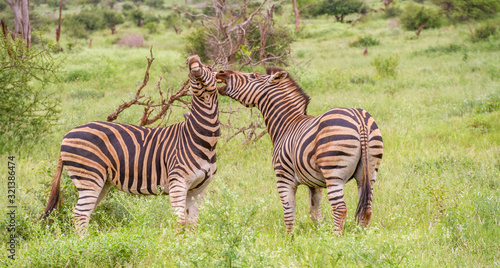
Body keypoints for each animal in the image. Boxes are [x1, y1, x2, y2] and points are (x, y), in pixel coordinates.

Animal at [40, 55, 218, 238]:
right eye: (190, 72)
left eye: (209, 68)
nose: (193, 59)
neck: (202, 140)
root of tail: (66, 135)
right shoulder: (178, 182)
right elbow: (179, 222)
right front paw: (177, 243)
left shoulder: (198, 188)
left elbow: (193, 223)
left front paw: (192, 242)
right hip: (89, 175)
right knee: (79, 213)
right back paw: (85, 243)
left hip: (101, 181)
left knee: (85, 212)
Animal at [215, 68, 382, 236]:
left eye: (252, 76)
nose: (221, 72)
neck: (286, 125)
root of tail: (359, 119)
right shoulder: (315, 183)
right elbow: (314, 212)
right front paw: (319, 235)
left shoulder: (283, 178)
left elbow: (288, 212)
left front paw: (290, 239)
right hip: (368, 172)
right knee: (366, 209)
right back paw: (361, 237)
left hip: (334, 172)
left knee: (340, 209)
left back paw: (337, 238)